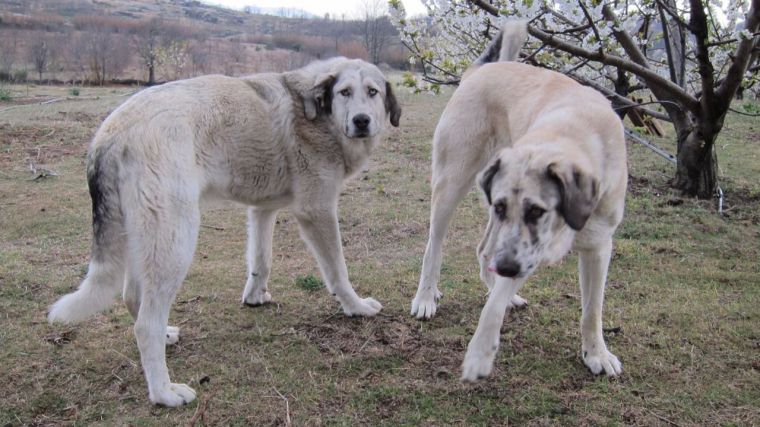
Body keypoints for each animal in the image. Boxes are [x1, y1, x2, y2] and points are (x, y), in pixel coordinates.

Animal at [46, 57, 400, 408]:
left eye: (373, 92)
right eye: (344, 92)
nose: (362, 121)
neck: (315, 112)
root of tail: (111, 131)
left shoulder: (262, 210)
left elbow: (261, 261)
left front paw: (254, 297)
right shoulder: (317, 211)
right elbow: (338, 272)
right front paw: (355, 307)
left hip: (145, 238)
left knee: (133, 297)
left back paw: (165, 336)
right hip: (176, 239)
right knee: (145, 325)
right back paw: (164, 392)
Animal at [410, 20, 628, 382]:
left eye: (537, 211)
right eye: (505, 207)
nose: (507, 268)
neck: (572, 131)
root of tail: (478, 72)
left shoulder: (596, 247)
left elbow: (592, 310)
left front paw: (596, 353)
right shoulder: (522, 248)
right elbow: (493, 305)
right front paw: (480, 353)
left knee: (483, 250)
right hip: (451, 185)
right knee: (433, 246)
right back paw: (426, 296)